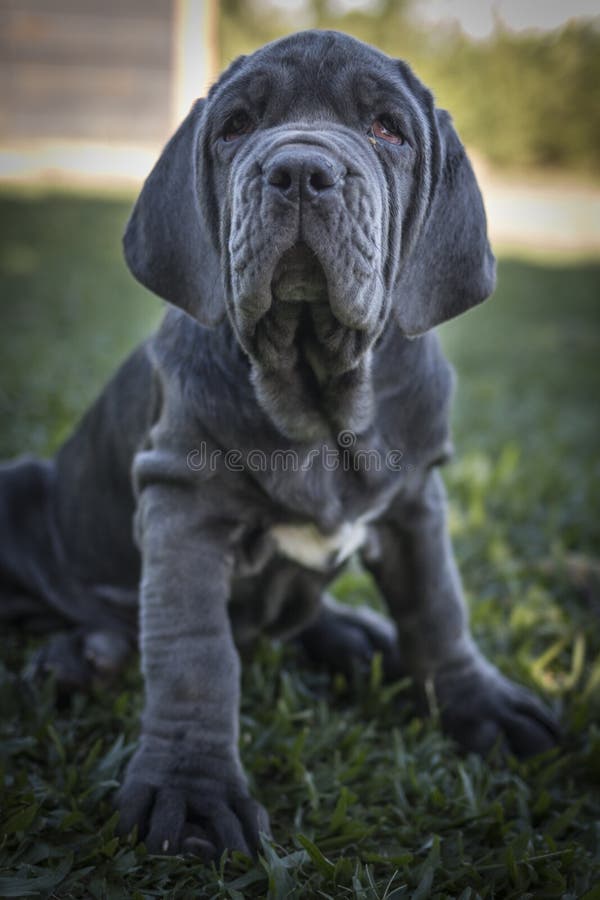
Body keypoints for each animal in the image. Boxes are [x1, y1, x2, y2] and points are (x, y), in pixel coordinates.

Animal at [2, 29, 560, 856]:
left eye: (387, 130)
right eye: (236, 126)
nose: (300, 171)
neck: (316, 393)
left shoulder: (417, 500)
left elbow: (439, 609)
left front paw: (482, 704)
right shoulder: (182, 506)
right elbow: (196, 655)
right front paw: (191, 792)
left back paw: (359, 637)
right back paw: (83, 656)